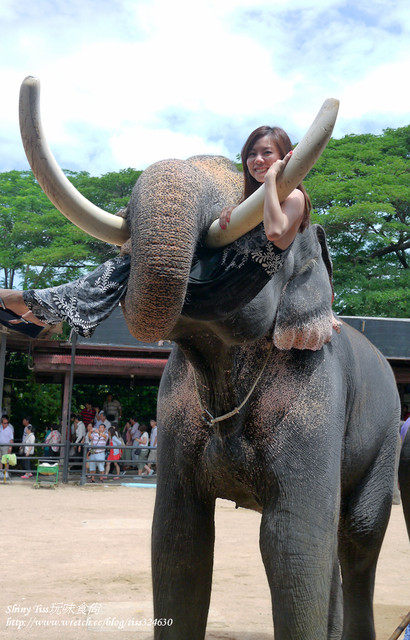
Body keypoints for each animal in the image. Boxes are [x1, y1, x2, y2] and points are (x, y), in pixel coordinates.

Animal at [17, 77, 402, 636]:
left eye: (255, 221)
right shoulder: (174, 409)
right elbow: (178, 540)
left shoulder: (316, 392)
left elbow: (290, 543)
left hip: (388, 435)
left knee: (358, 538)